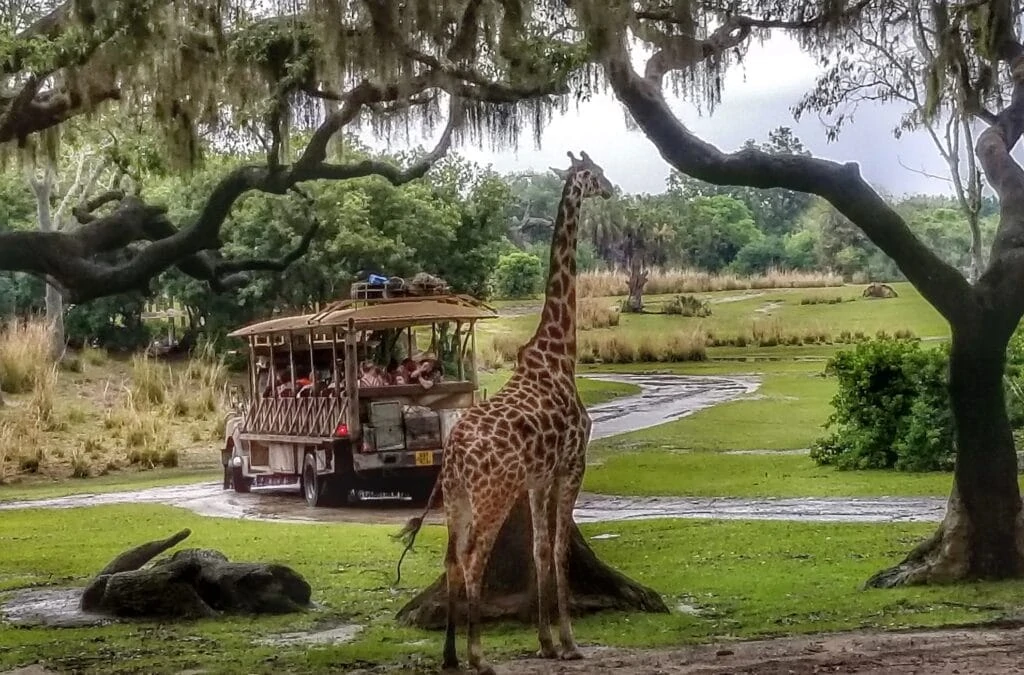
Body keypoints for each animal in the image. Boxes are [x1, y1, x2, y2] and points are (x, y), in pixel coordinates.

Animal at [395, 151, 610, 675]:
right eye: (595, 172)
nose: (613, 188)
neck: (561, 355)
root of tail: (453, 452)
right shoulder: (572, 465)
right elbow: (557, 550)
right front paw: (569, 643)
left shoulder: (537, 478)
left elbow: (538, 550)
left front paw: (547, 642)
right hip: (492, 494)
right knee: (474, 560)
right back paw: (478, 655)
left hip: (456, 497)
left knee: (451, 560)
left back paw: (451, 654)